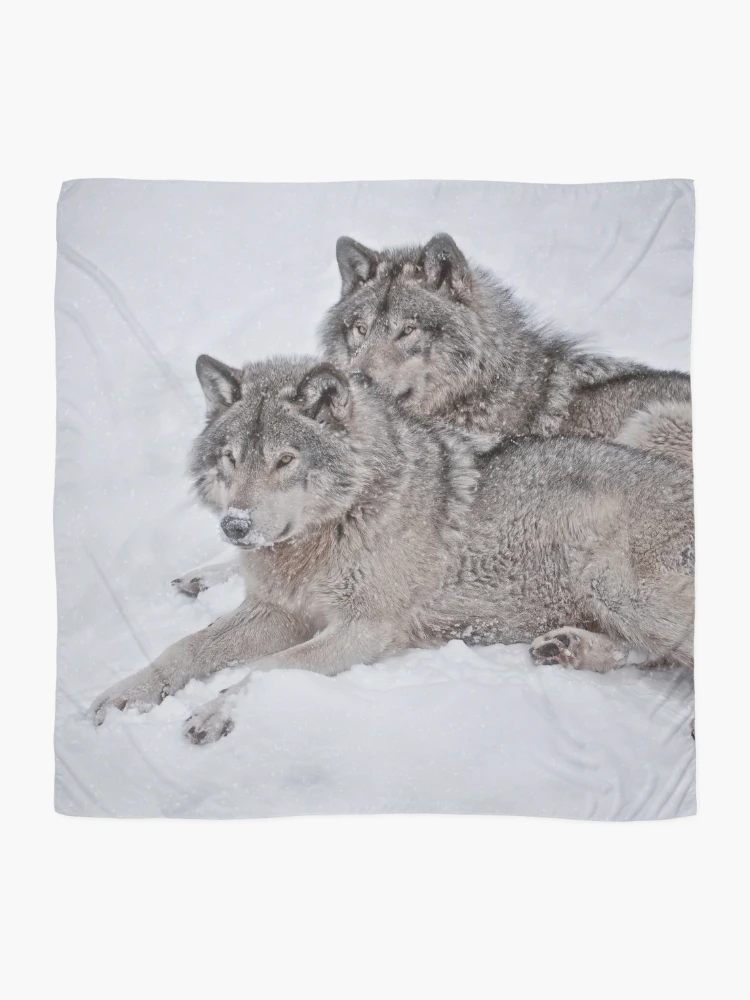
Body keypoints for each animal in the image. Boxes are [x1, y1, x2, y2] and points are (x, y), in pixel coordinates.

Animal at [91, 355, 694, 744]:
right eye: (231, 458)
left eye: (285, 460)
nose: (235, 525)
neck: (337, 527)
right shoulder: (279, 610)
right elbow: (185, 649)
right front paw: (125, 693)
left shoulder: (364, 629)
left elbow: (271, 668)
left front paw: (217, 709)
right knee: (647, 654)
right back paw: (565, 647)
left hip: (616, 580)